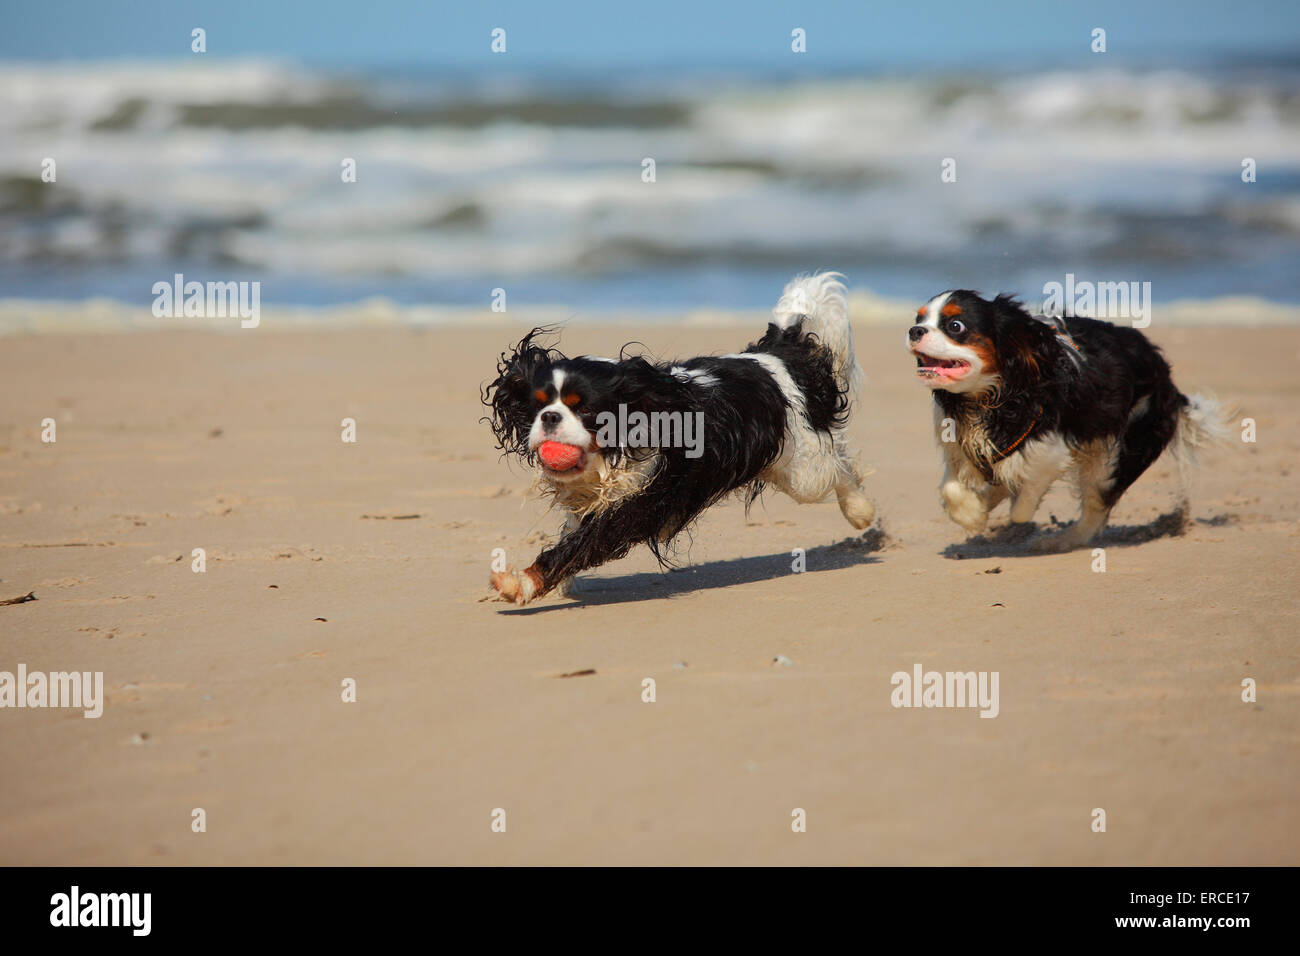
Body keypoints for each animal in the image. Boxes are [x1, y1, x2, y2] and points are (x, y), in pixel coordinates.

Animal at [486, 274, 873, 606]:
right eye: (538, 405)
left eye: (584, 409)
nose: (549, 418)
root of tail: (776, 354)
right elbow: (572, 532)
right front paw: (553, 584)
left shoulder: (641, 504)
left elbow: (581, 543)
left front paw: (523, 581)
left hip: (803, 470)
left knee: (839, 465)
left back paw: (861, 512)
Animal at [904, 287, 1227, 548]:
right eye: (920, 319)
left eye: (955, 325)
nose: (914, 331)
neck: (984, 397)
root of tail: (1166, 377)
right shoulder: (959, 447)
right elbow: (951, 489)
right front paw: (975, 512)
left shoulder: (1050, 453)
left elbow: (1023, 502)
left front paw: (987, 508)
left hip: (1117, 453)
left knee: (1096, 510)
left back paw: (1062, 541)